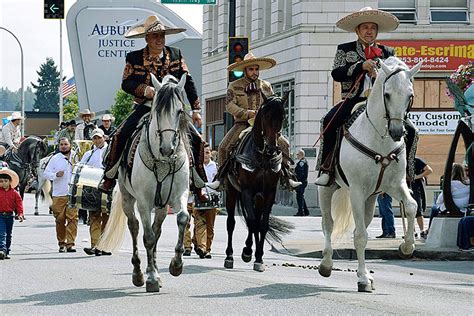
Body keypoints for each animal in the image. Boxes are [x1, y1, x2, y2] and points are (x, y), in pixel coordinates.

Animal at [97, 73, 190, 292]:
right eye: (157, 110)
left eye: (180, 110)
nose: (167, 148)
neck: (162, 160)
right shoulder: (144, 201)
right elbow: (147, 237)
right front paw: (152, 278)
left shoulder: (179, 194)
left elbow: (182, 219)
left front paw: (176, 265)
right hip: (128, 198)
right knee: (135, 227)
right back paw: (139, 273)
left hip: (162, 205)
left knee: (157, 229)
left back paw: (153, 267)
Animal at [222, 93, 292, 272]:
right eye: (266, 115)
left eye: (283, 116)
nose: (272, 148)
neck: (262, 156)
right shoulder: (247, 190)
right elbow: (252, 222)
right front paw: (247, 252)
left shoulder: (269, 193)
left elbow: (263, 225)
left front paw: (258, 258)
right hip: (232, 191)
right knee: (232, 223)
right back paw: (230, 256)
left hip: (258, 198)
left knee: (255, 220)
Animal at [318, 56, 422, 292]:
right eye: (387, 94)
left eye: (410, 95)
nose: (397, 132)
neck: (380, 139)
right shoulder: (357, 190)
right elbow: (360, 236)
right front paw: (363, 279)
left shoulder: (395, 185)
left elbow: (411, 206)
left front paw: (407, 246)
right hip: (328, 188)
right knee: (328, 224)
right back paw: (327, 264)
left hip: (371, 197)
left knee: (362, 223)